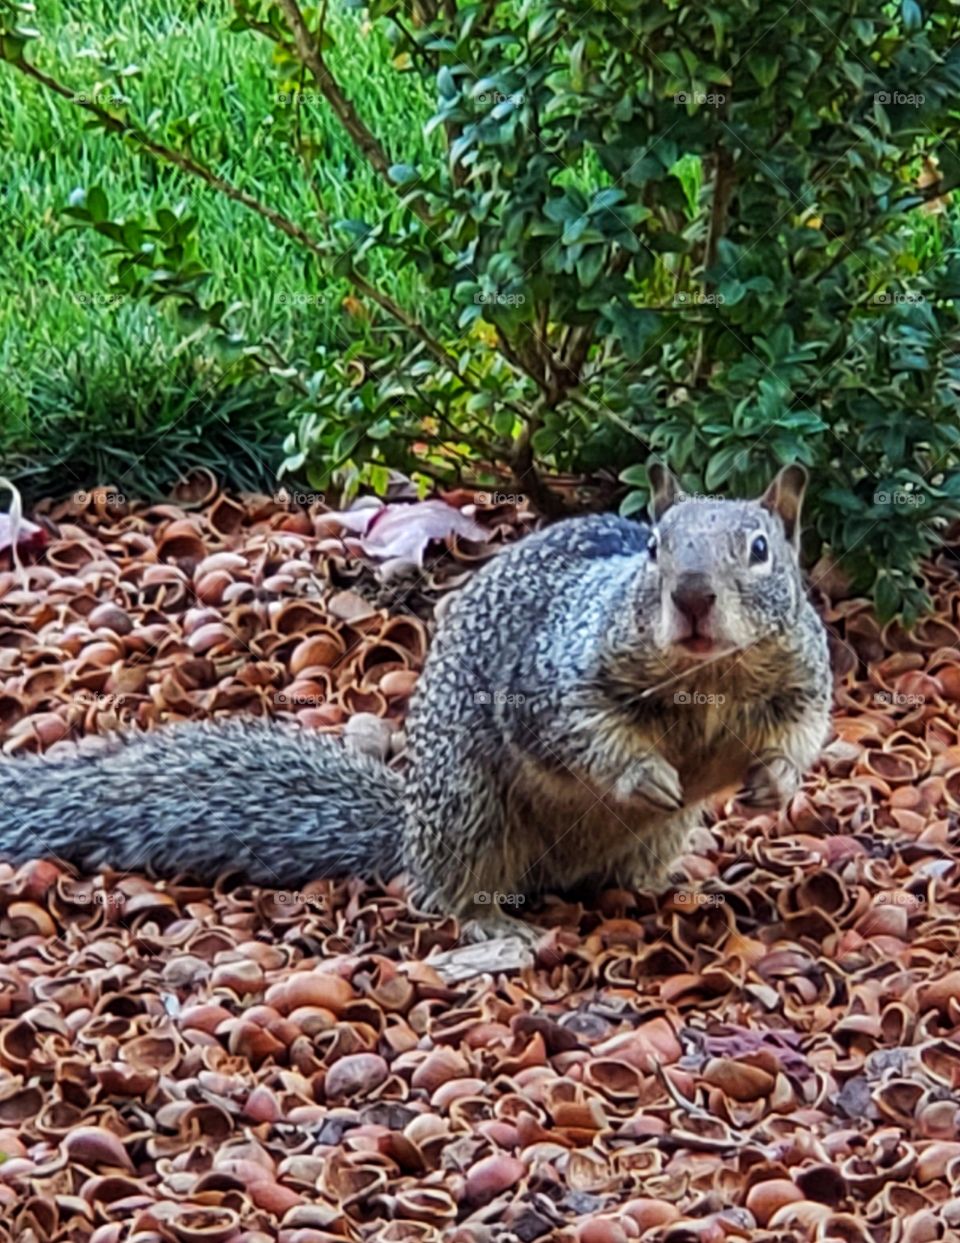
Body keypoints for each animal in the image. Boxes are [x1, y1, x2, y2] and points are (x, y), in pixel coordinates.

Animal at [0, 465, 832, 942]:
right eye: (655, 546)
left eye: (761, 550)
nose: (691, 597)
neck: (711, 677)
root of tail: (409, 829)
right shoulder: (553, 676)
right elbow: (581, 731)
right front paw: (647, 774)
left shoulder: (804, 678)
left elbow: (803, 731)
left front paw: (775, 783)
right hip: (470, 809)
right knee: (449, 890)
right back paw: (494, 922)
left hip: (645, 841)